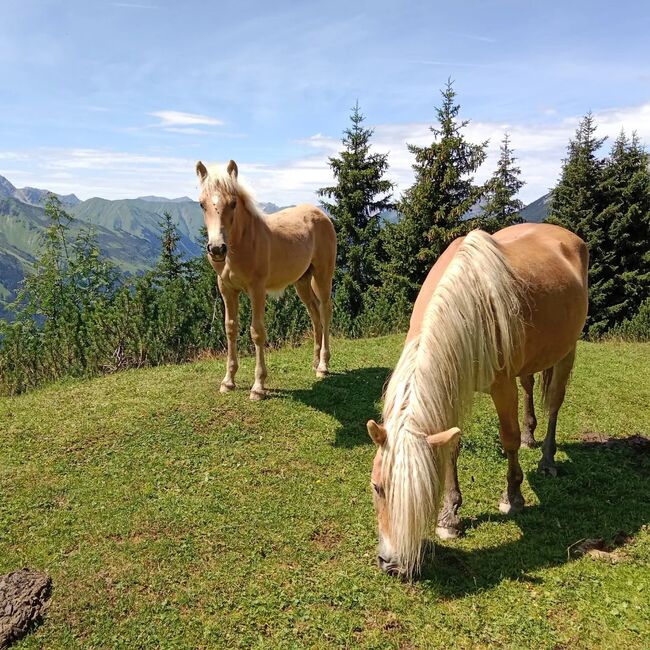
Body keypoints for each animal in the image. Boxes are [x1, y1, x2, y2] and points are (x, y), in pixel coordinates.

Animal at [194, 159, 334, 398]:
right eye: (202, 204)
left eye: (233, 203)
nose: (217, 249)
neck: (242, 243)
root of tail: (321, 214)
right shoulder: (227, 289)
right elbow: (230, 328)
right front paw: (228, 381)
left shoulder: (257, 289)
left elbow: (257, 332)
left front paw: (258, 386)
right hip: (302, 282)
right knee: (315, 315)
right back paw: (315, 363)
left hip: (323, 275)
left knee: (324, 311)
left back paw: (323, 366)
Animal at [364, 223, 588, 576]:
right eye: (377, 487)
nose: (392, 565)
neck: (467, 305)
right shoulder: (452, 386)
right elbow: (452, 447)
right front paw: (450, 517)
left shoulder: (501, 386)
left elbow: (508, 439)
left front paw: (513, 497)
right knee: (529, 387)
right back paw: (531, 436)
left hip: (567, 351)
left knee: (554, 402)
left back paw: (547, 460)